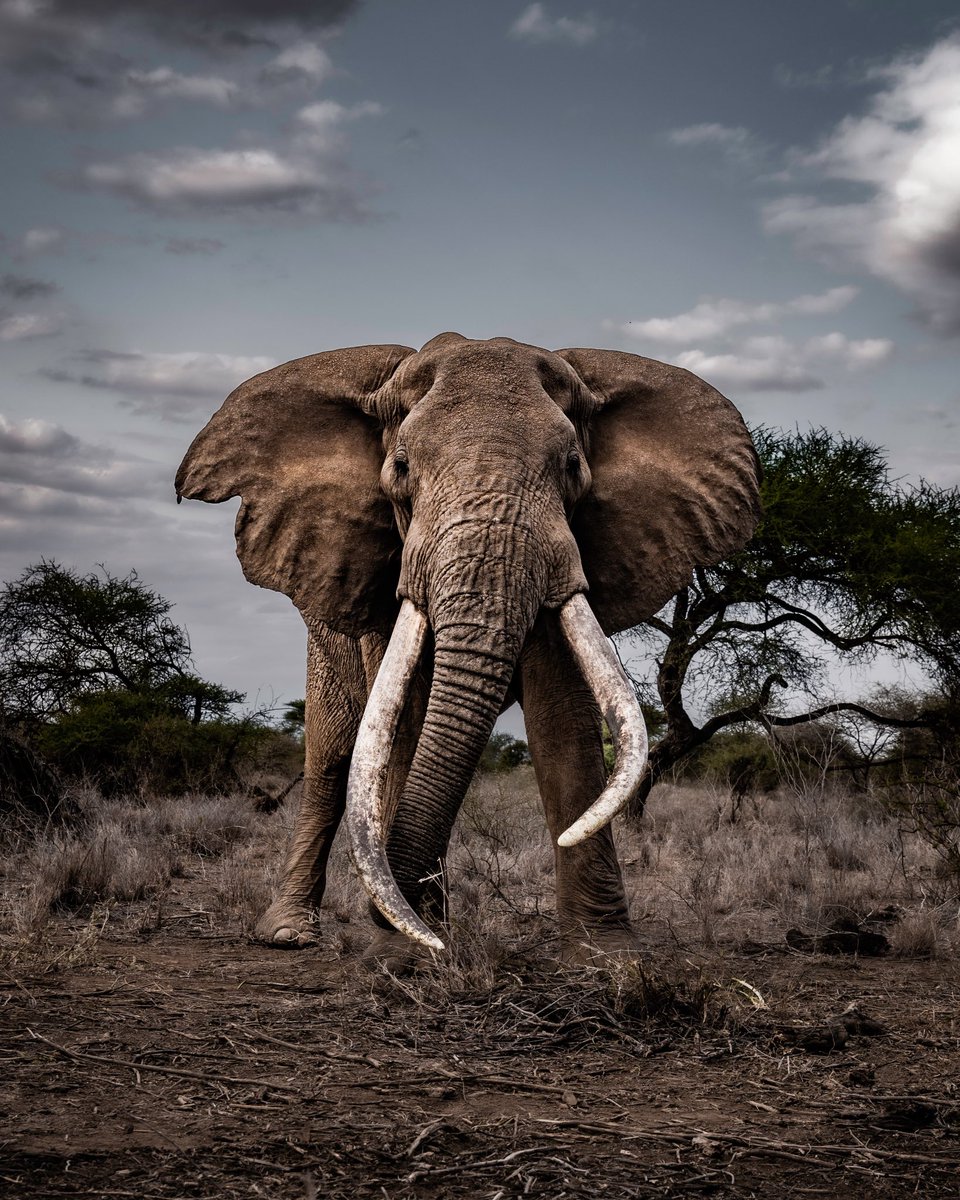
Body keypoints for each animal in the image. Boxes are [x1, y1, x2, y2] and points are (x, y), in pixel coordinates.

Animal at [176, 331, 763, 964]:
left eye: (572, 466)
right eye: (401, 467)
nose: (392, 918)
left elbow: (565, 716)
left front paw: (604, 953)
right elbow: (404, 719)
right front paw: (408, 949)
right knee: (332, 757)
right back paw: (288, 933)